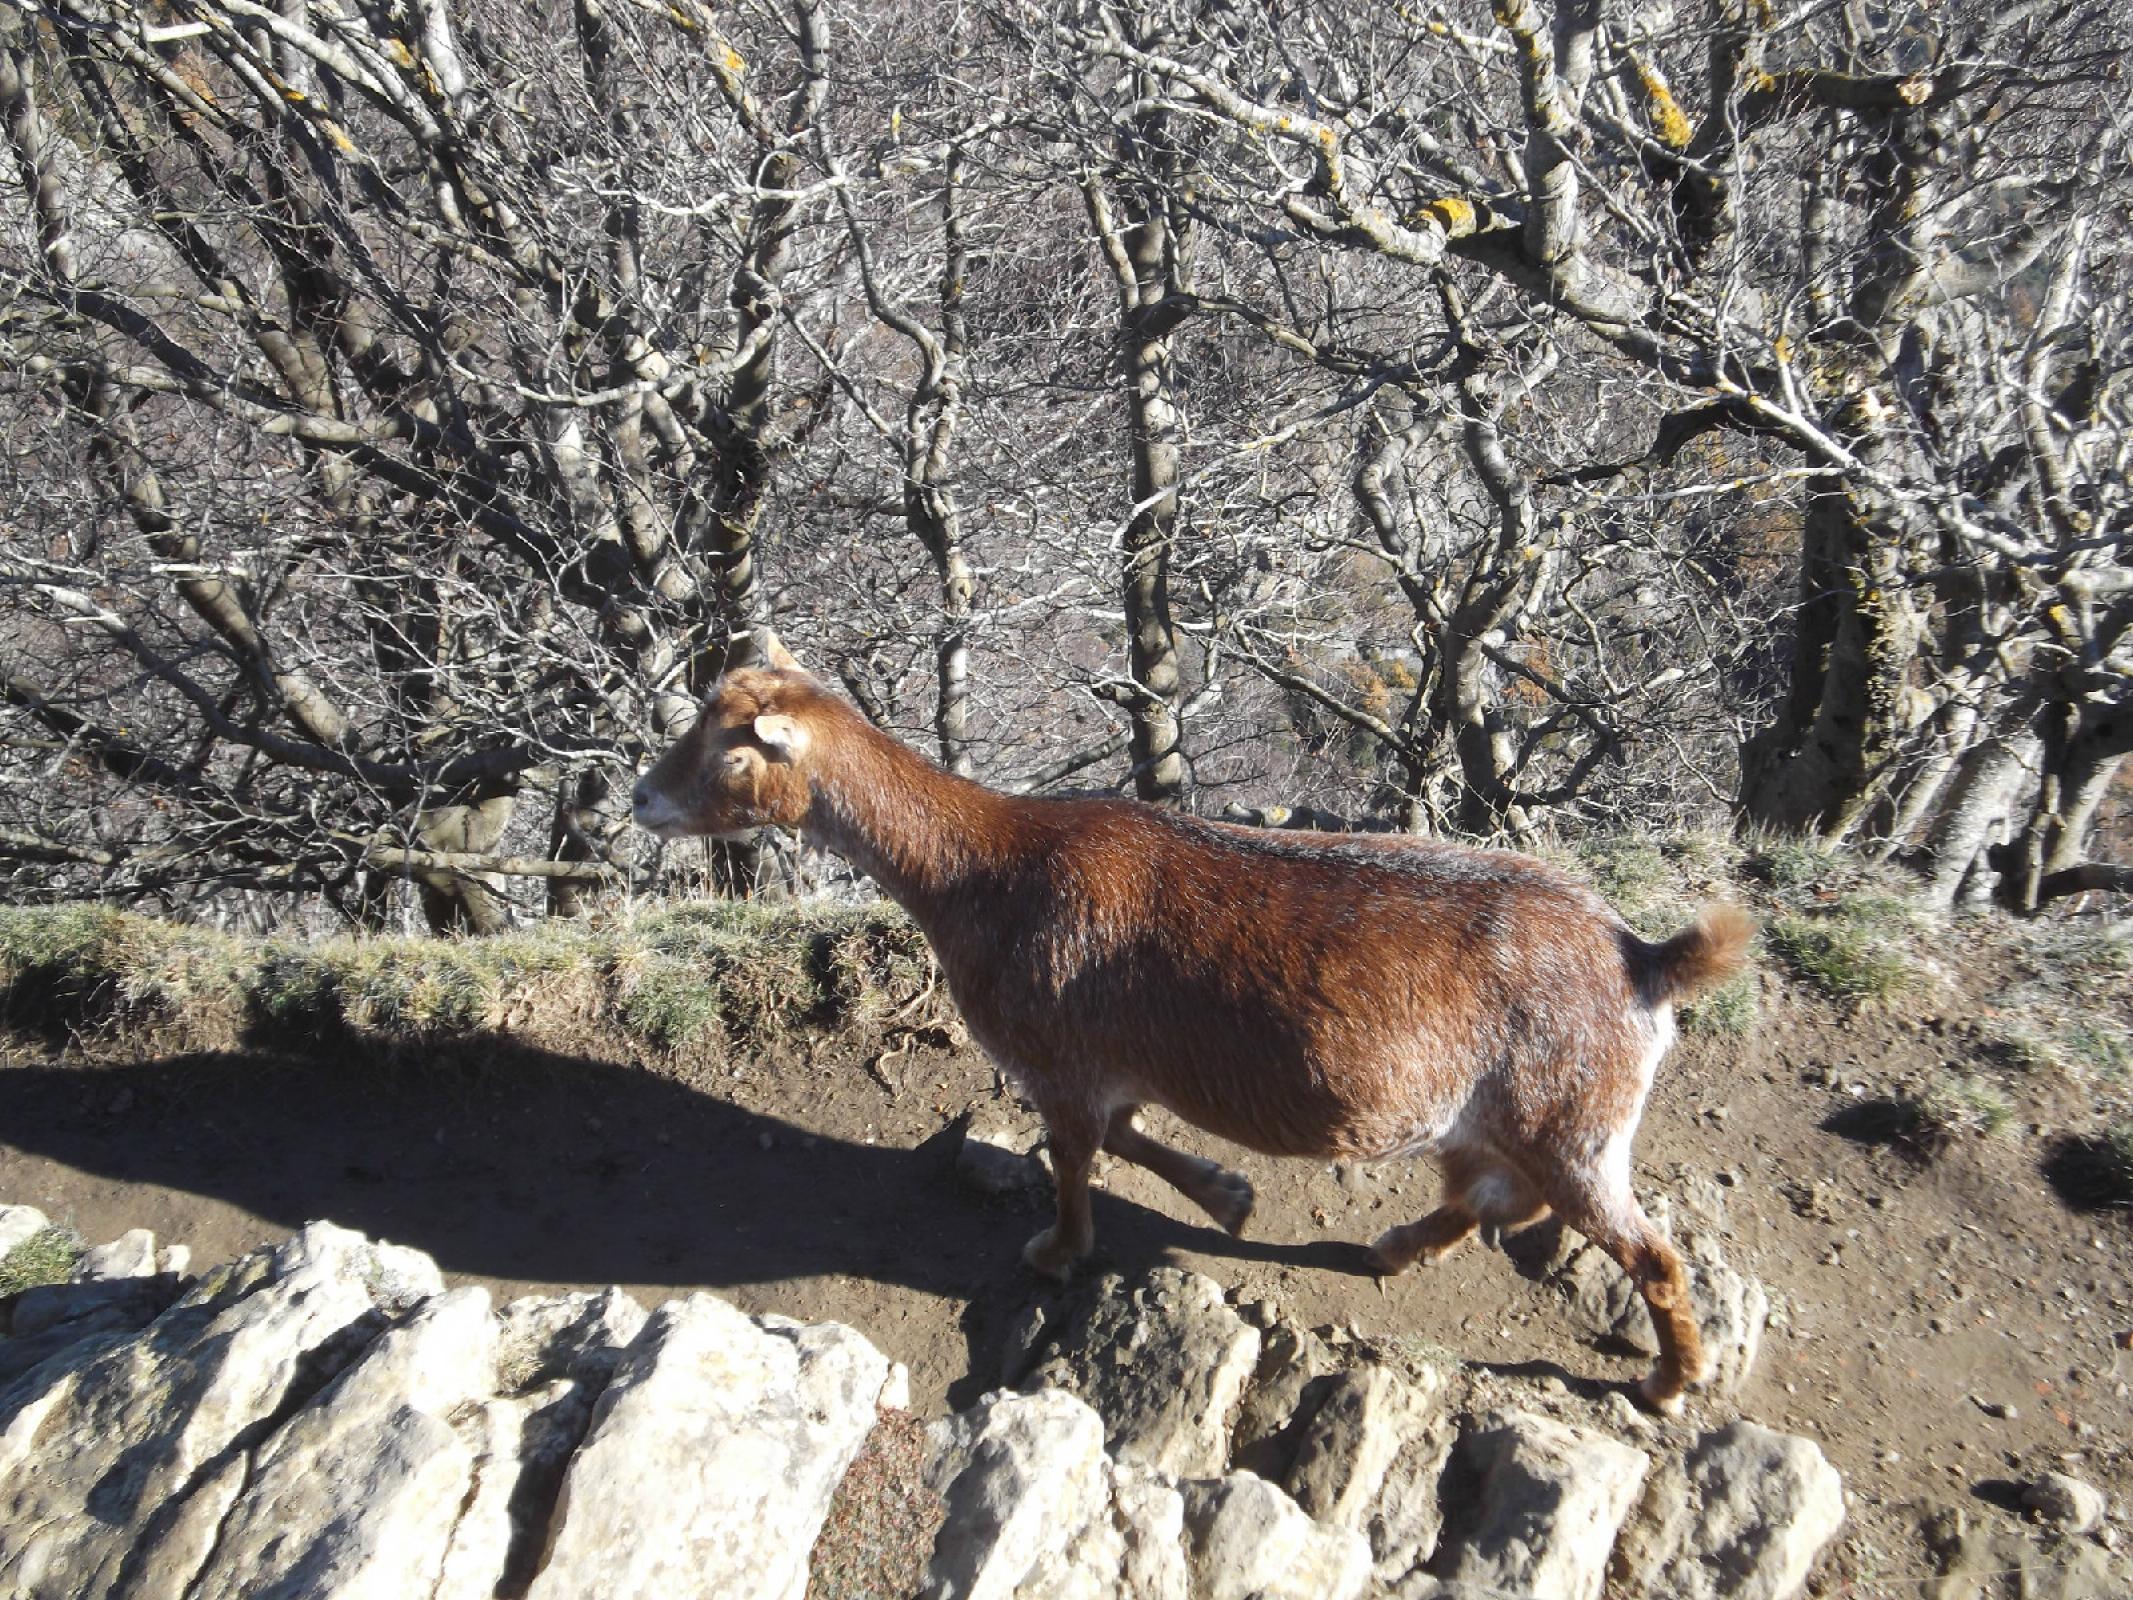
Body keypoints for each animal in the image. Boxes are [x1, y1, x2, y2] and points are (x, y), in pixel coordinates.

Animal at [631, 657, 1749, 1408]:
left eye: (728, 747)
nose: (642, 798)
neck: (981, 869)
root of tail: (1643, 957)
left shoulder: (1055, 1054)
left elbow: (1074, 1157)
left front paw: (1057, 1250)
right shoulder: (1108, 1064)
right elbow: (1125, 1134)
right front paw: (1228, 1194)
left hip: (1570, 1112)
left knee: (1645, 1253)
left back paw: (1669, 1382)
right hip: (1507, 1115)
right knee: (1493, 1193)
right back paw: (1393, 1247)